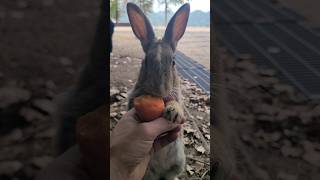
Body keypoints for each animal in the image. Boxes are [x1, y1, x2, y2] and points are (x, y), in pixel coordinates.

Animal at [125, 2, 190, 179]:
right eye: (145, 61)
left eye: (173, 62)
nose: (160, 90)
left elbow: (177, 106)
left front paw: (173, 111)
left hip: (178, 164)